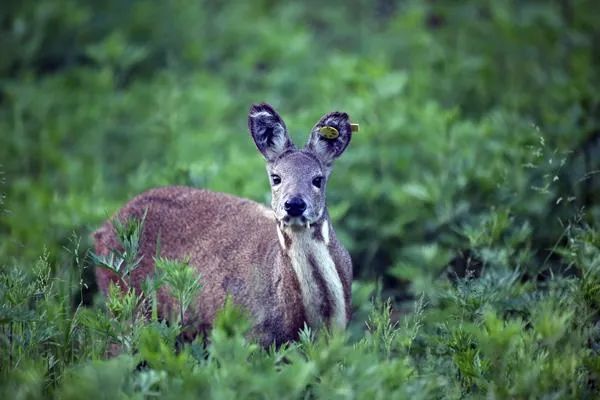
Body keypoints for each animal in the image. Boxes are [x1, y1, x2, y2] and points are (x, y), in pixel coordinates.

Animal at [94, 103, 356, 346]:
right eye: (276, 178)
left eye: (318, 179)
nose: (294, 204)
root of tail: (103, 229)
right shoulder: (253, 335)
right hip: (127, 303)